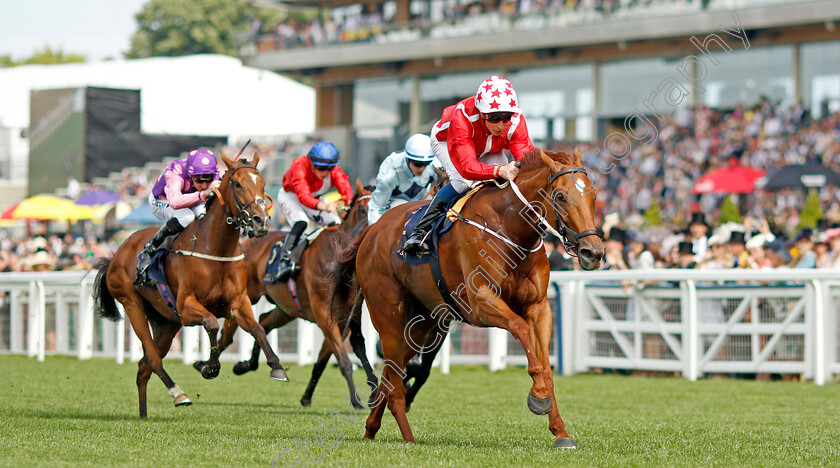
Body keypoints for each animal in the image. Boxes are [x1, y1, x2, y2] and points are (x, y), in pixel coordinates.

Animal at [89, 154, 286, 416]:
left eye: (263, 183)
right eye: (237, 184)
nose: (261, 221)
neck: (215, 248)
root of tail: (115, 254)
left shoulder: (237, 303)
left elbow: (258, 329)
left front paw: (276, 366)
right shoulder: (185, 306)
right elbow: (212, 324)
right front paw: (209, 367)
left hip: (166, 322)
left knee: (143, 366)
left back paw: (144, 415)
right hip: (132, 304)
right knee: (152, 358)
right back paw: (178, 393)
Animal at [213, 181, 378, 408]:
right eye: (362, 210)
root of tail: (245, 243)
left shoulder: (351, 315)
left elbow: (357, 350)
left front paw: (374, 390)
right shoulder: (324, 315)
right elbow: (343, 360)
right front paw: (355, 399)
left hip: (286, 309)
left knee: (263, 321)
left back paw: (247, 365)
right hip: (246, 296)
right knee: (231, 332)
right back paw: (207, 363)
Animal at [328, 148, 604, 448]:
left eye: (594, 195)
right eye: (561, 196)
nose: (593, 252)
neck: (510, 228)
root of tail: (373, 229)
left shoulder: (539, 307)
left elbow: (544, 362)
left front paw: (560, 432)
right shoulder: (480, 302)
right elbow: (520, 329)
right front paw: (538, 396)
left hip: (421, 323)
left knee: (392, 373)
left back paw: (371, 428)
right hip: (388, 315)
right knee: (394, 382)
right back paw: (408, 439)